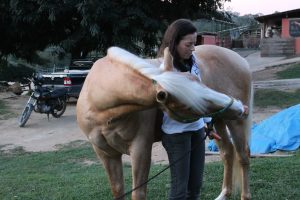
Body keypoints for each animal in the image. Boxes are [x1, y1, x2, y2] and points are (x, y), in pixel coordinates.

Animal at [76, 44, 252, 199]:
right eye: (189, 107)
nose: (239, 107)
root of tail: (239, 59)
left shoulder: (141, 149)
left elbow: (138, 194)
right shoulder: (106, 155)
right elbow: (117, 191)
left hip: (234, 123)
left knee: (243, 155)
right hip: (219, 120)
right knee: (228, 152)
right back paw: (224, 194)